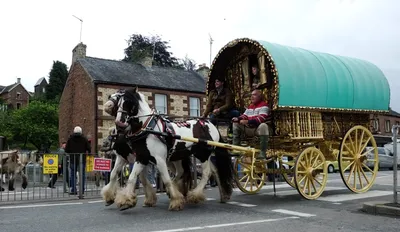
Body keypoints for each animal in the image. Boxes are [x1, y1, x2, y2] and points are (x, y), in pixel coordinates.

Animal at [101, 86, 236, 210]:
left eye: (128, 102)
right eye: (114, 98)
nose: (119, 122)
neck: (147, 128)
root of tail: (210, 125)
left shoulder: (157, 159)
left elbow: (164, 179)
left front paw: (175, 201)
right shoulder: (139, 157)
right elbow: (126, 176)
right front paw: (122, 200)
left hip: (202, 155)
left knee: (206, 173)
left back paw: (195, 195)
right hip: (180, 157)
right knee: (200, 171)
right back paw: (222, 195)